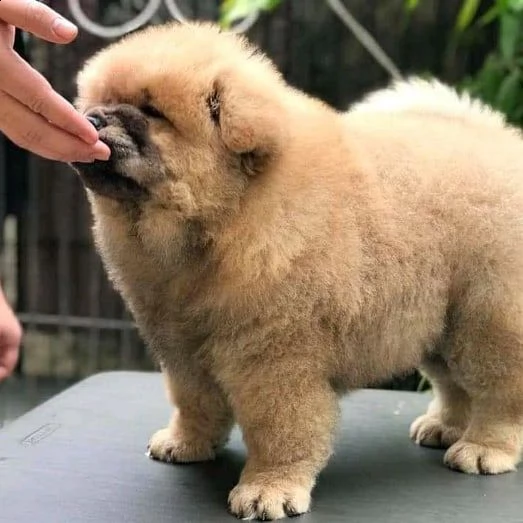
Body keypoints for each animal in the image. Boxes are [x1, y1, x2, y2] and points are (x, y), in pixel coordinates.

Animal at [71, 19, 523, 520]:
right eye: (99, 101)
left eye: (152, 113)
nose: (92, 119)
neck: (222, 222)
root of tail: (501, 142)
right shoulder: (183, 344)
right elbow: (194, 401)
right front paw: (186, 443)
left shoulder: (274, 355)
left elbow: (279, 429)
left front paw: (268, 490)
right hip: (437, 322)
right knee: (453, 383)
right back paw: (444, 426)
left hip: (486, 319)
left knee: (501, 391)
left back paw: (483, 448)